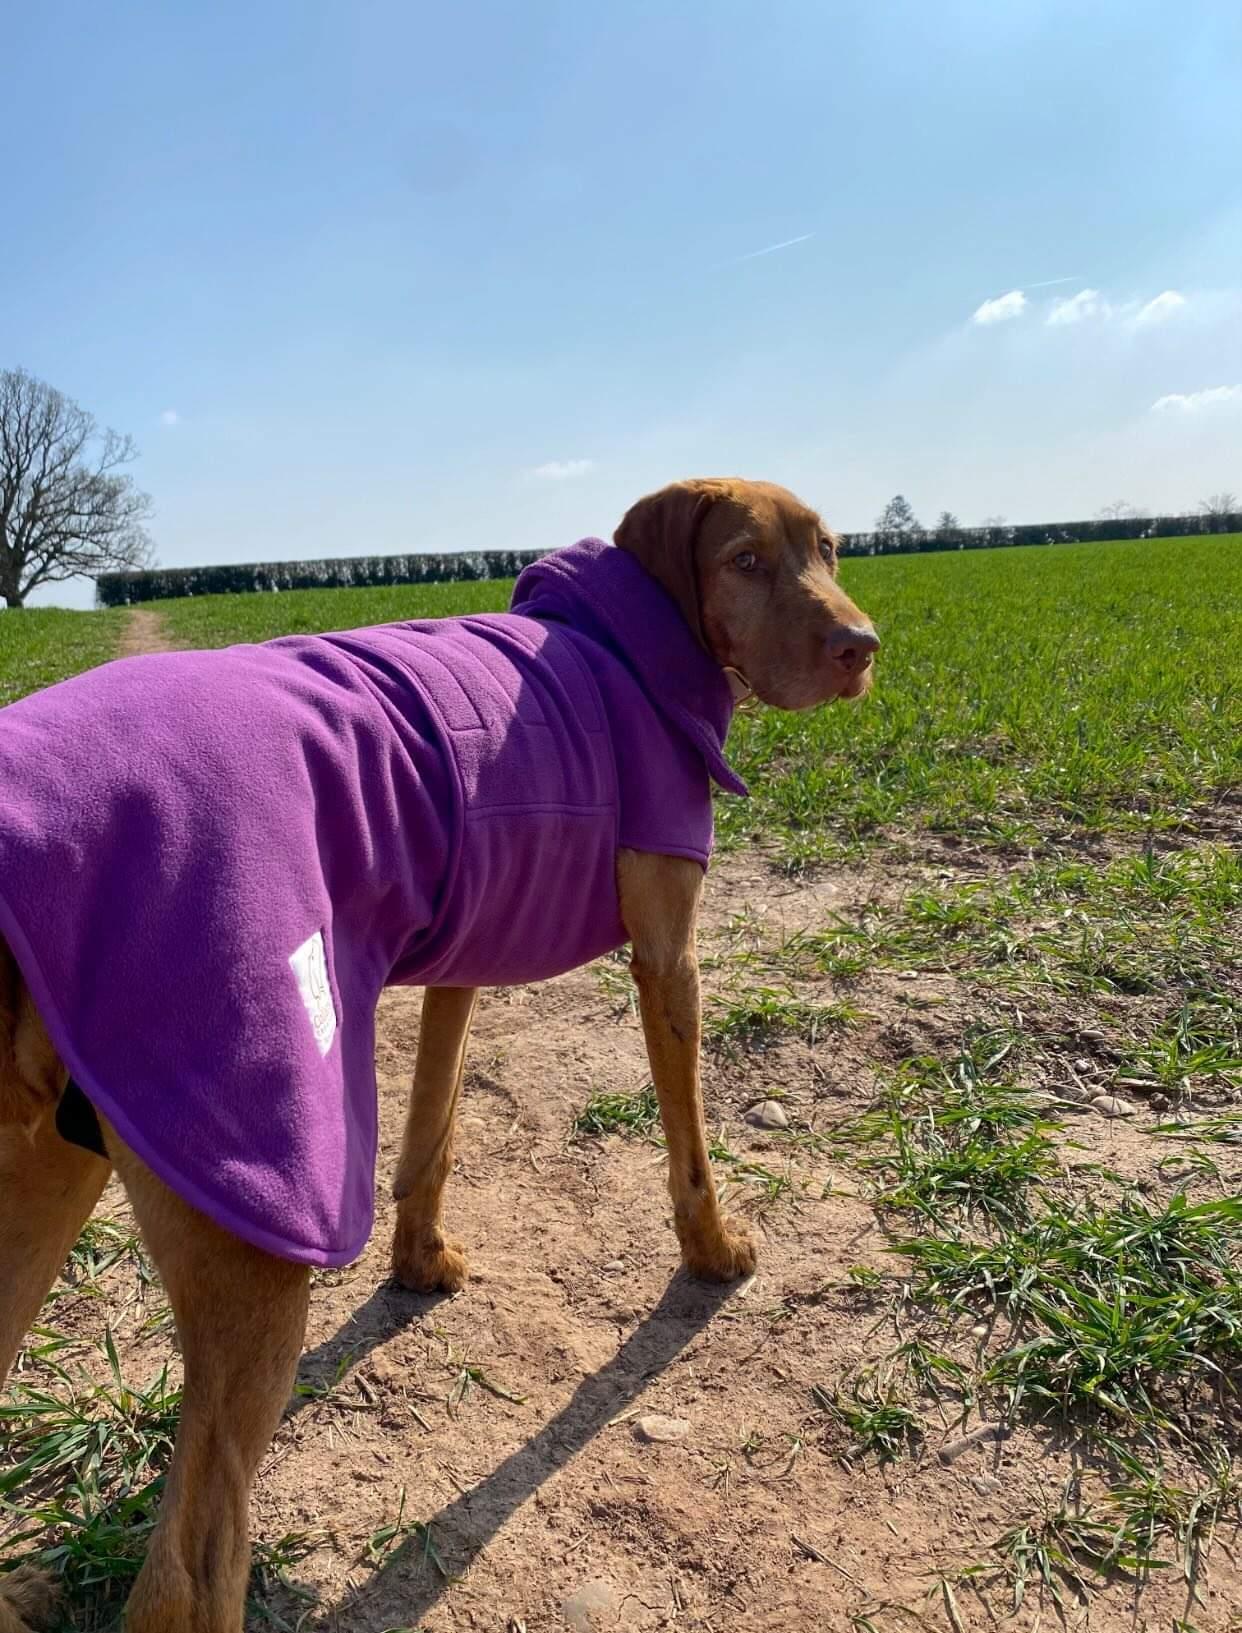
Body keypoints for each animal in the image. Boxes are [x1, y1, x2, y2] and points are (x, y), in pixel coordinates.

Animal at [0, 476, 874, 1633]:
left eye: (830, 550)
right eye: (743, 561)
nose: (864, 646)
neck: (626, 646)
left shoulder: (464, 945)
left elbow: (433, 1128)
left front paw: (418, 1263)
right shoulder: (668, 953)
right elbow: (687, 1141)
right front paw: (713, 1251)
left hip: (40, 1171)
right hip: (249, 1199)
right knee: (188, 1575)